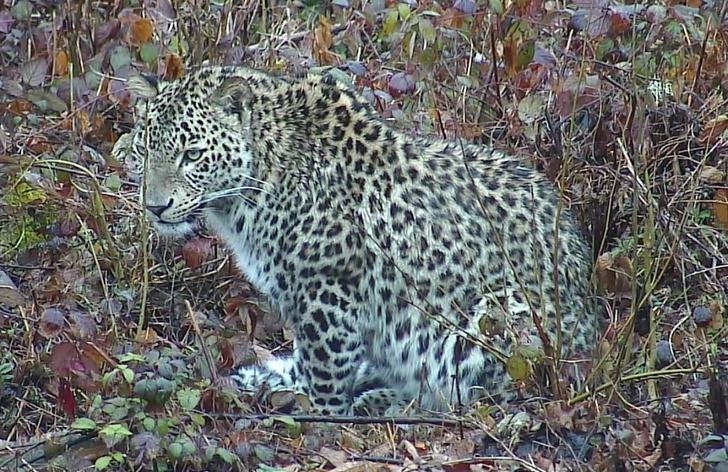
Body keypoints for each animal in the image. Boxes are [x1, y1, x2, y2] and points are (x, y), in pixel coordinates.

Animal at [125, 64, 600, 414]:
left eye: (192, 155)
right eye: (145, 149)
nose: (156, 206)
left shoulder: (329, 288)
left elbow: (325, 367)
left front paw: (321, 416)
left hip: (493, 320)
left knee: (476, 399)